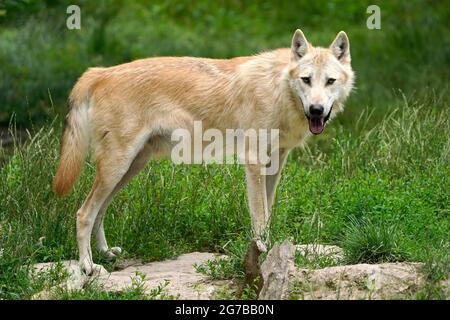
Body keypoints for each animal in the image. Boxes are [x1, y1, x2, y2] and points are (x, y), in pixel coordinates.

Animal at [53, 30, 356, 276]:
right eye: (306, 80)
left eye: (330, 81)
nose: (316, 110)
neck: (278, 90)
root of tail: (99, 72)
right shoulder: (254, 162)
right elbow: (259, 218)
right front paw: (262, 254)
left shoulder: (275, 164)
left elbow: (267, 214)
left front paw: (270, 251)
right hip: (117, 167)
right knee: (83, 213)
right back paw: (88, 266)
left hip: (129, 168)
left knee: (100, 211)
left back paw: (105, 254)